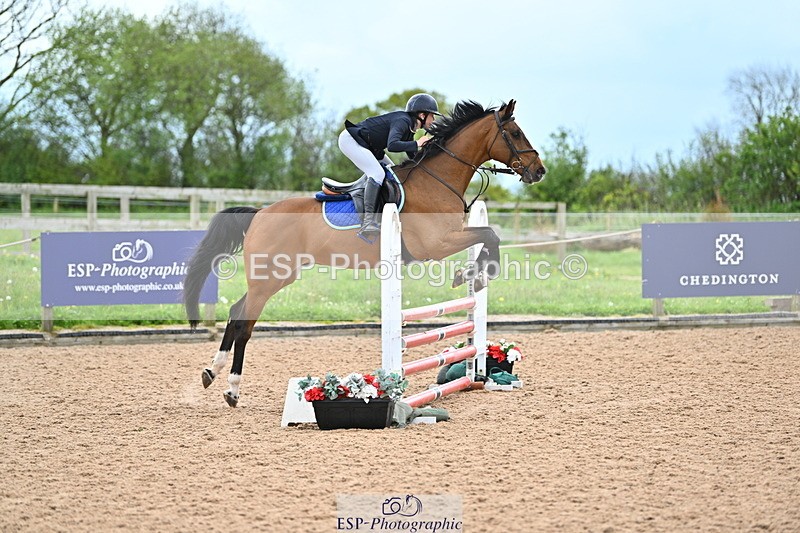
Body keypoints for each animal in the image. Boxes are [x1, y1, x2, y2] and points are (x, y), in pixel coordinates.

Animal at [183, 99, 546, 407]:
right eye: (515, 133)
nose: (538, 170)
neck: (437, 180)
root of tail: (259, 213)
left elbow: (486, 237)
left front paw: (470, 274)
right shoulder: (437, 243)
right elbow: (490, 235)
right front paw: (474, 276)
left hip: (275, 276)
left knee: (235, 312)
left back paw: (211, 372)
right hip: (269, 278)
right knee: (245, 323)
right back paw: (232, 389)